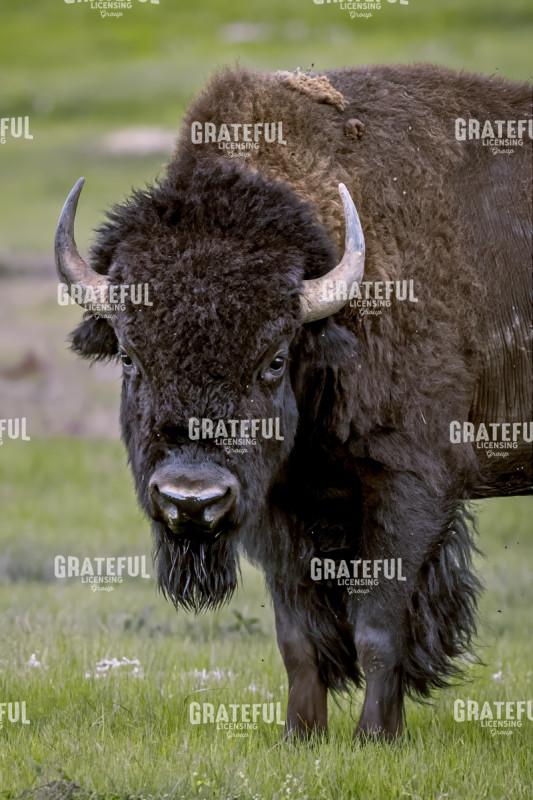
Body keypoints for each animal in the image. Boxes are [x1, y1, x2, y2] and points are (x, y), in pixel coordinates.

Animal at [55, 64, 532, 740]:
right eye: (128, 356)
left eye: (275, 358)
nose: (190, 499)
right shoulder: (276, 508)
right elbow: (297, 638)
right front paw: (301, 737)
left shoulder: (411, 490)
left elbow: (377, 628)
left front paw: (374, 739)